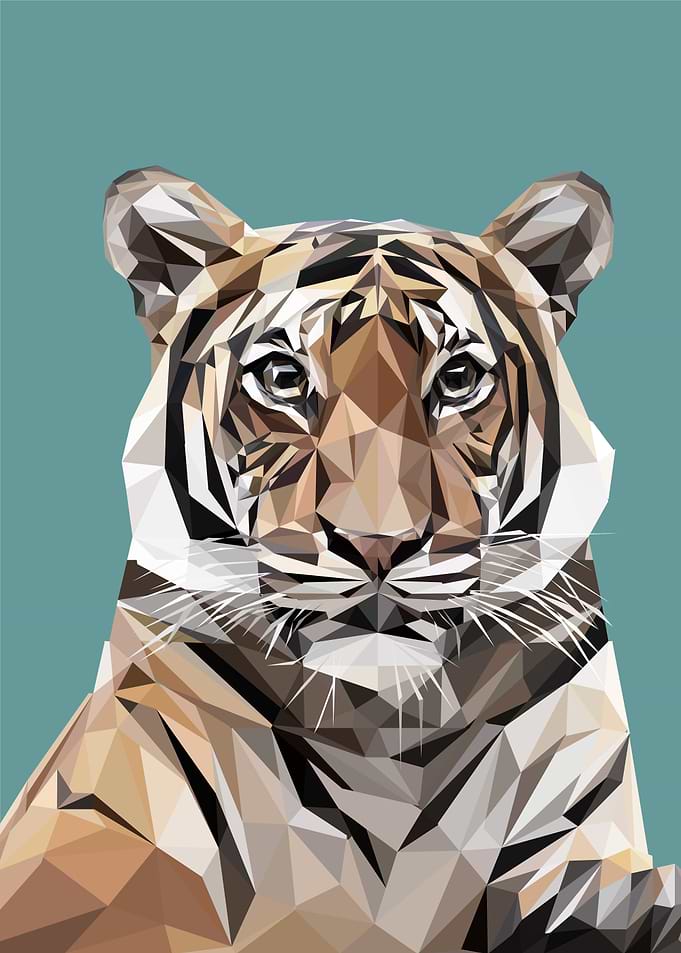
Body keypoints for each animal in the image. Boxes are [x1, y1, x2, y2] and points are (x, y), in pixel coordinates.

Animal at [0, 167, 678, 953]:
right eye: (282, 376)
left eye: (457, 378)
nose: (377, 542)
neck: (384, 742)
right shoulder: (91, 844)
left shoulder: (570, 854)